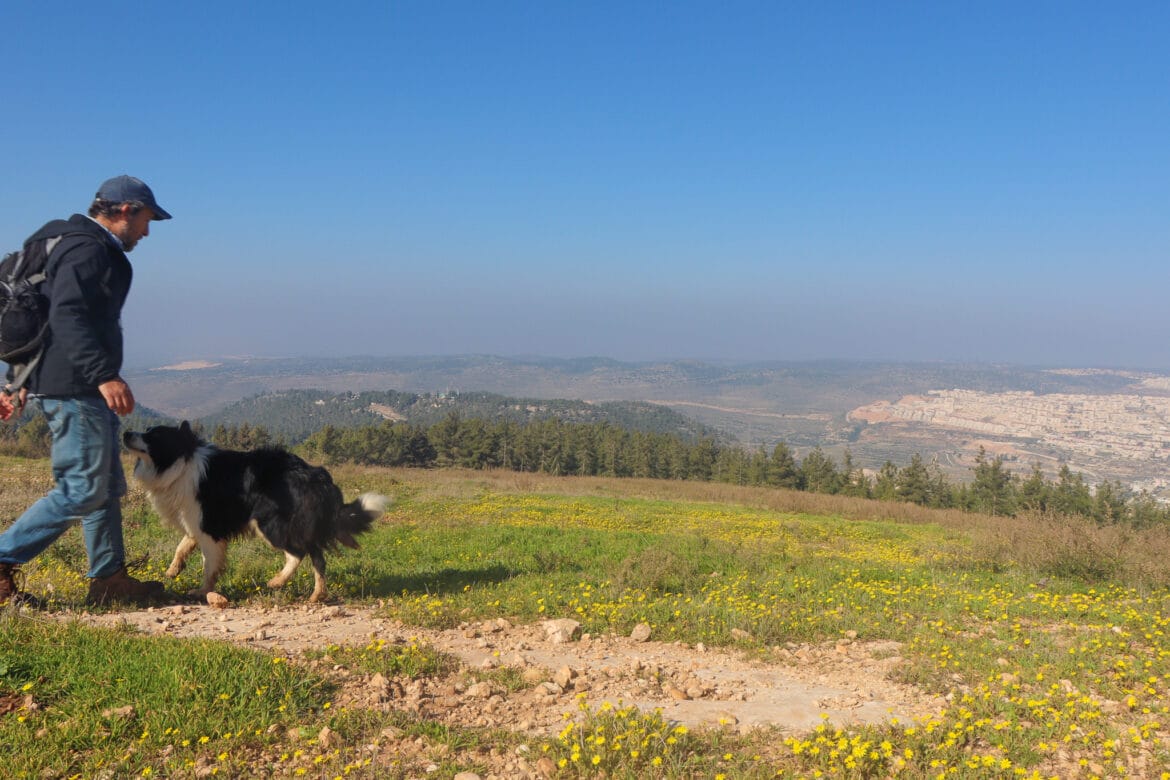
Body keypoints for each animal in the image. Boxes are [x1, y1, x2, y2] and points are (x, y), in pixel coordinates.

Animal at [125, 423, 386, 603]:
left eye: (154, 436)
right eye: (147, 431)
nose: (126, 433)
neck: (181, 462)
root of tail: (316, 476)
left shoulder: (208, 526)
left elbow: (209, 564)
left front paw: (203, 591)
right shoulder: (197, 522)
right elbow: (183, 545)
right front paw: (173, 570)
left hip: (269, 523)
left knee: (298, 553)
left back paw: (277, 581)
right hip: (301, 526)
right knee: (318, 558)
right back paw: (316, 595)